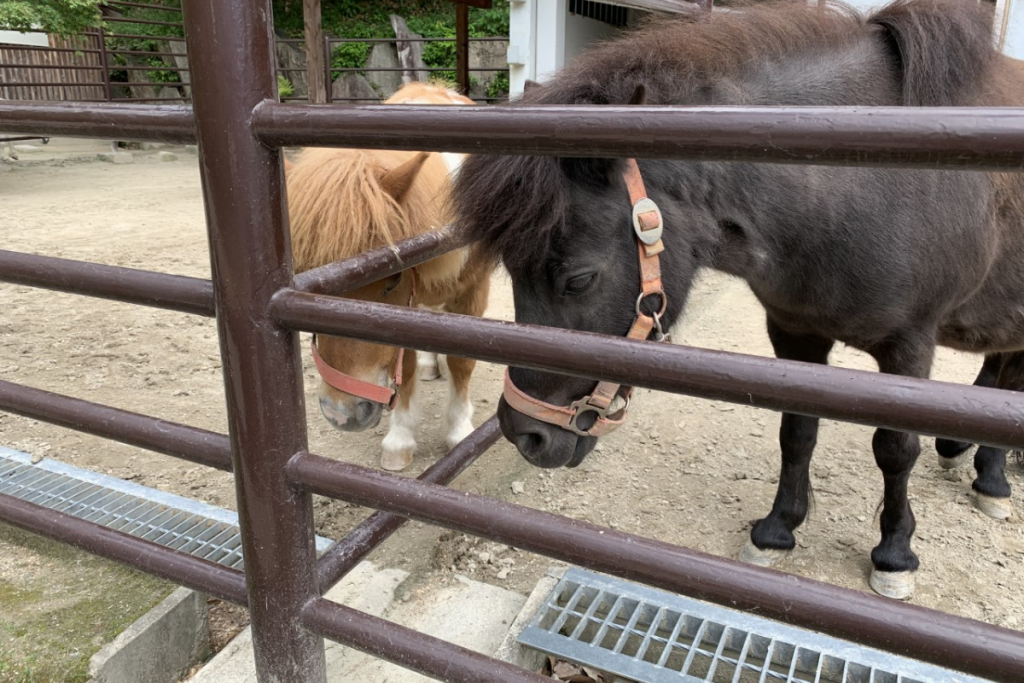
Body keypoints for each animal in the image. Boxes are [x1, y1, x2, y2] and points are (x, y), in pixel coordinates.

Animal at [286, 81, 493, 471]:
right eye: (310, 279)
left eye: (393, 279)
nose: (342, 414)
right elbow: (406, 367)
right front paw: (400, 440)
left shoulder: (473, 292)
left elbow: (461, 362)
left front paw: (460, 431)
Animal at [452, 0, 1024, 598]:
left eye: (578, 280)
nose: (524, 434)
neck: (857, 184)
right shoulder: (795, 333)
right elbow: (796, 433)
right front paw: (777, 530)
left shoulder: (909, 347)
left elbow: (895, 449)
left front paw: (894, 555)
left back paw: (992, 480)